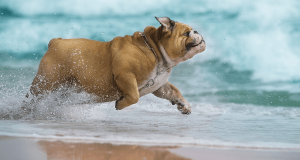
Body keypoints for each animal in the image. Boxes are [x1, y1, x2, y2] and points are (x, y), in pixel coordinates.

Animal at [28, 16, 205, 114]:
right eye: (186, 33)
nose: (197, 31)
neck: (155, 51)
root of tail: (56, 42)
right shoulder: (124, 74)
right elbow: (134, 95)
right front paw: (120, 105)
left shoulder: (160, 85)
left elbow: (174, 92)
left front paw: (183, 104)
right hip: (44, 84)